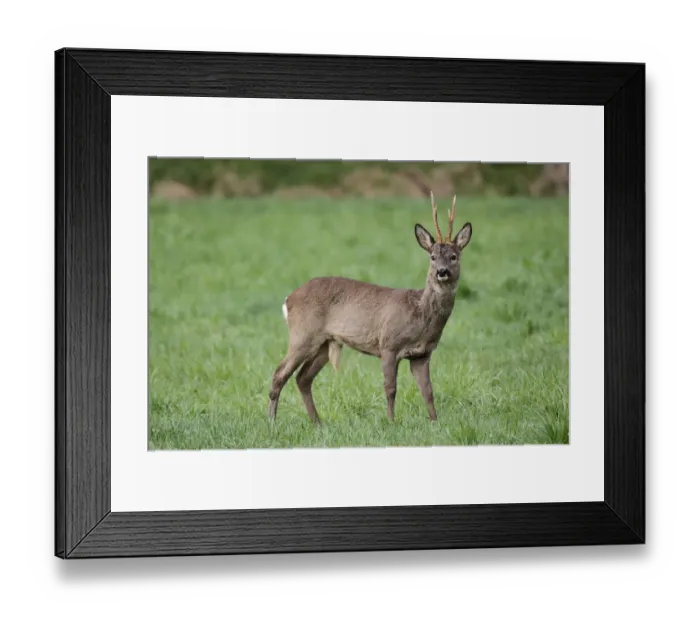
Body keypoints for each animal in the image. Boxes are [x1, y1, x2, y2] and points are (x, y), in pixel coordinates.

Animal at [268, 192, 473, 425]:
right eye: (432, 256)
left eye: (454, 256)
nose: (442, 271)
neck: (420, 315)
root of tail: (289, 299)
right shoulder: (388, 344)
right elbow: (391, 388)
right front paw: (391, 421)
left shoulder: (422, 355)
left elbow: (428, 391)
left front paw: (435, 421)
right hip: (303, 333)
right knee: (279, 373)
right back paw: (272, 422)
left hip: (324, 342)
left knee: (303, 378)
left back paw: (317, 423)